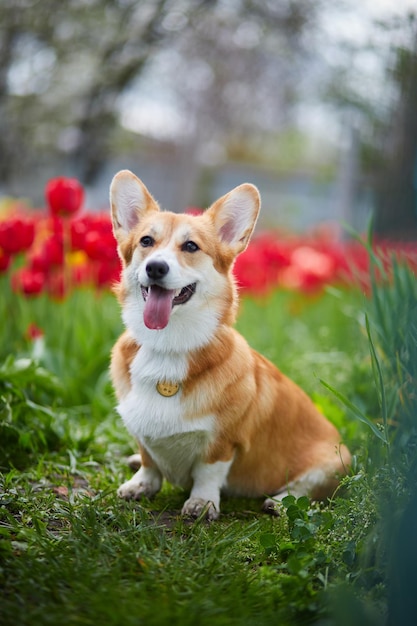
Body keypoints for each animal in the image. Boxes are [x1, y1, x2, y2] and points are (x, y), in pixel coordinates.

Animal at [109, 169, 350, 516]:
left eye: (191, 246)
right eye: (146, 241)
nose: (155, 267)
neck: (167, 345)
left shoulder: (223, 441)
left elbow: (208, 472)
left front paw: (201, 503)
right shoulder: (141, 431)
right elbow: (148, 460)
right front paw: (140, 484)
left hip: (335, 462)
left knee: (306, 489)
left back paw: (280, 502)